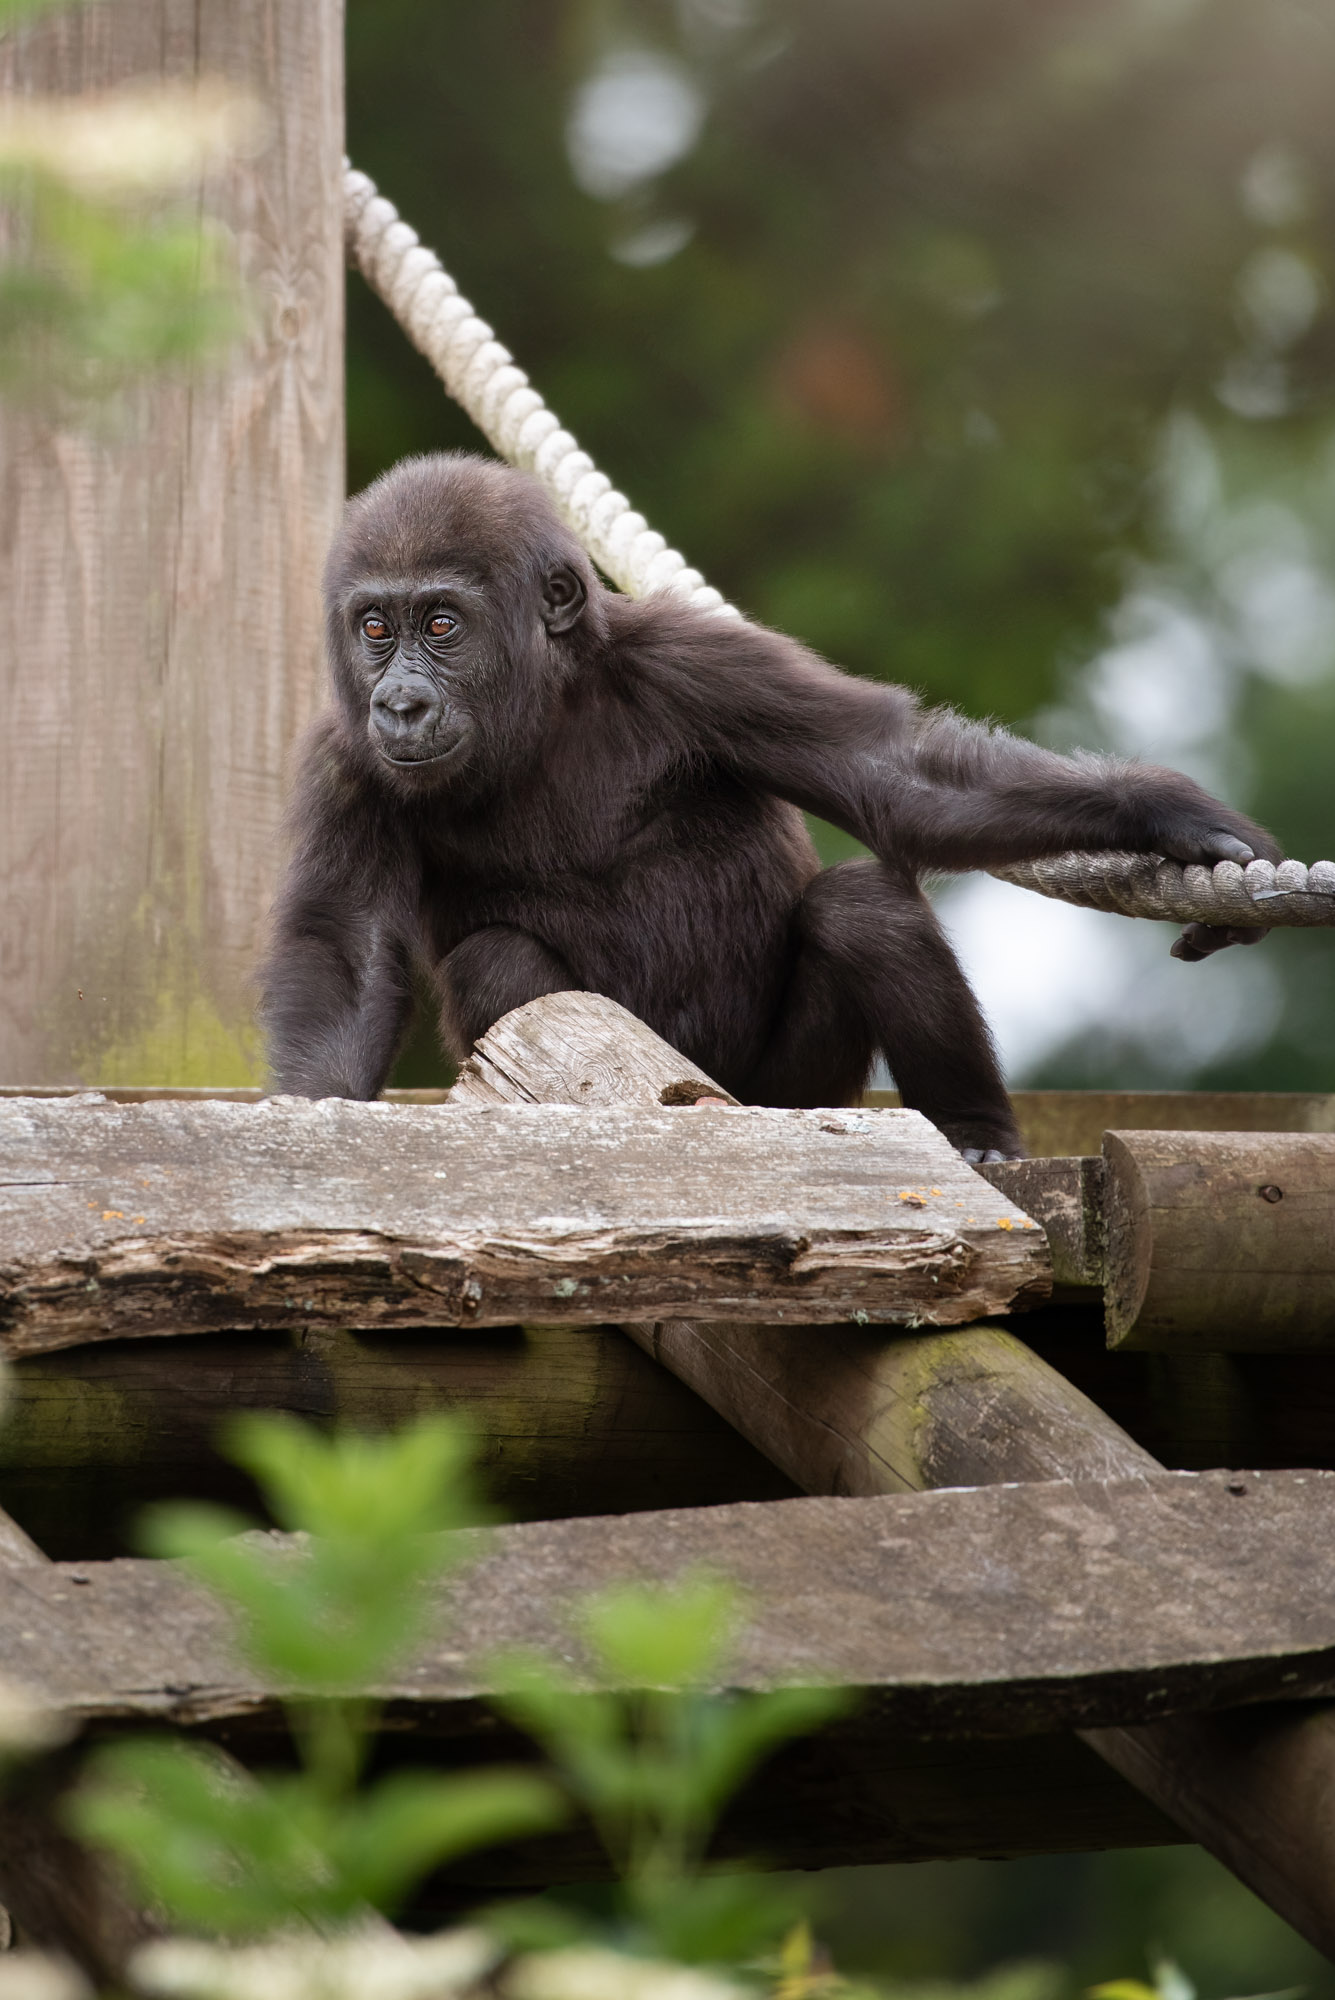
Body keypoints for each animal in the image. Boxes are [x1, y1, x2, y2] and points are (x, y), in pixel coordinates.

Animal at [260, 451, 1279, 1162]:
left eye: (441, 623)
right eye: (374, 627)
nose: (400, 703)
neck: (546, 703)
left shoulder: (704, 662)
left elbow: (896, 774)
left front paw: (1164, 811)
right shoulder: (344, 761)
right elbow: (345, 957)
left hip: (786, 1096)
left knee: (860, 910)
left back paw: (974, 1131)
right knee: (497, 964)